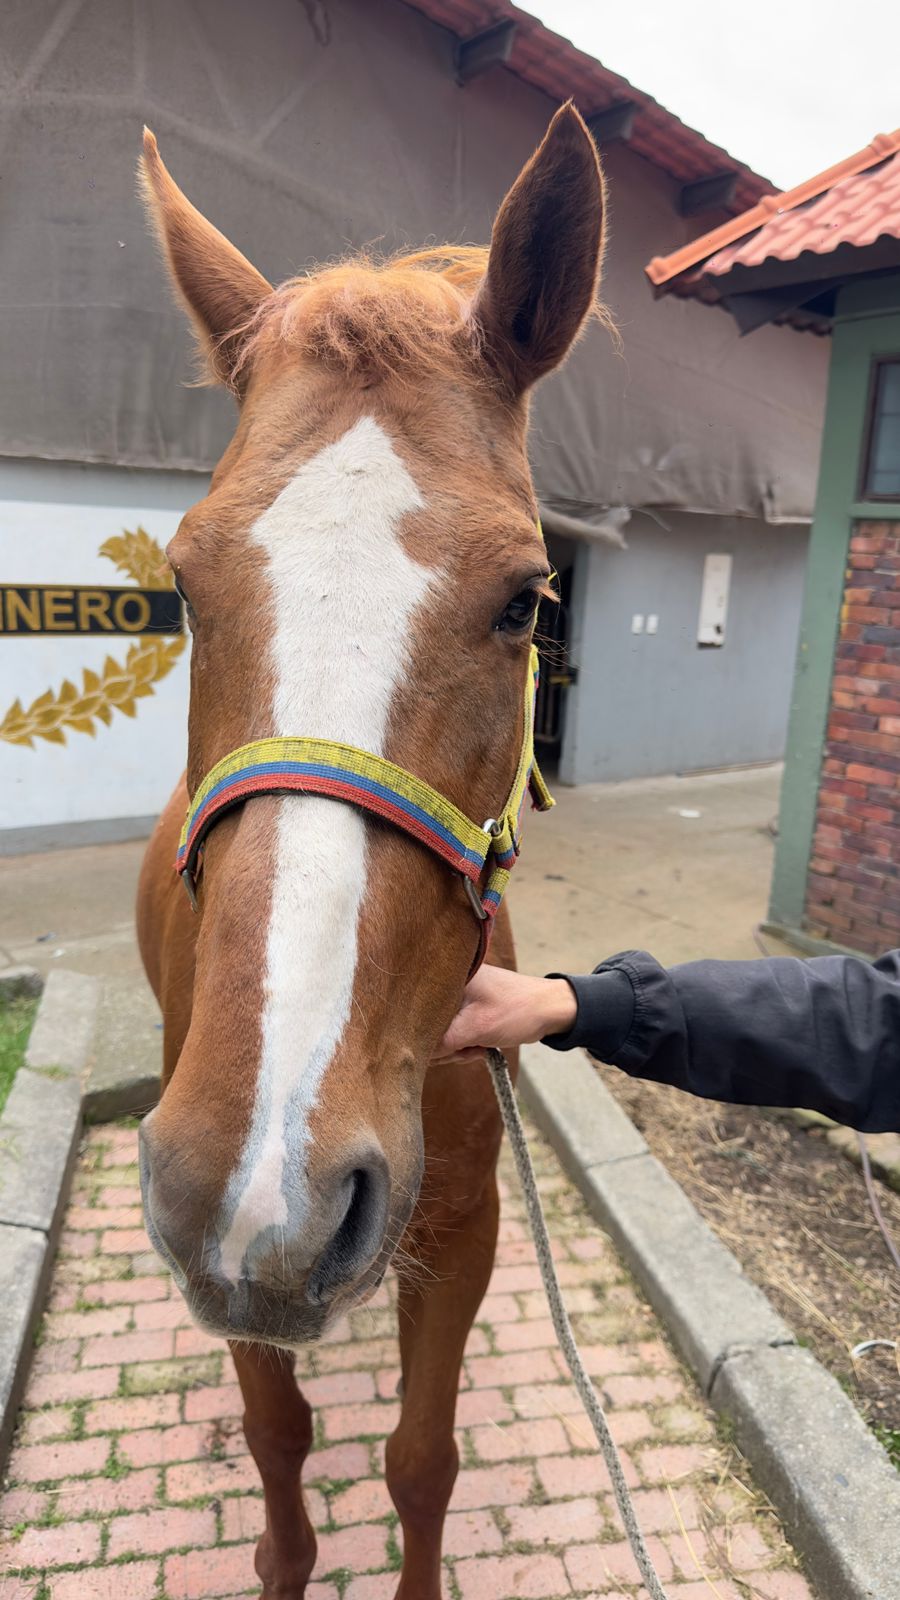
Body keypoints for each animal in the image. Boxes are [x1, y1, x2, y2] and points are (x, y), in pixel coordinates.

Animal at [135, 102, 605, 1600]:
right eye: (182, 585)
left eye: (528, 600)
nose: (266, 1188)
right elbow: (277, 1436)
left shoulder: (459, 1232)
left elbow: (421, 1460)